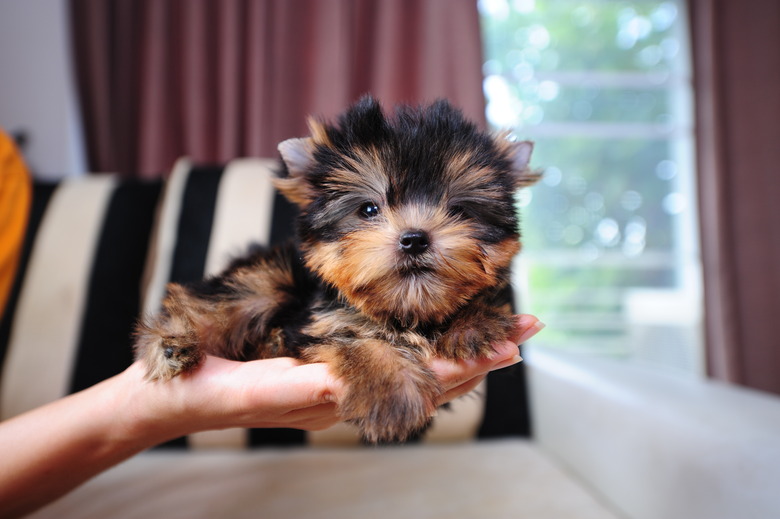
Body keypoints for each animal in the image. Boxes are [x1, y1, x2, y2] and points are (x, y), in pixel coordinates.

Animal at [134, 96, 536, 442]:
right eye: (369, 209)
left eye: (459, 210)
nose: (414, 238)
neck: (405, 310)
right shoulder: (318, 323)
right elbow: (358, 342)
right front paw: (393, 392)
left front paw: (473, 323)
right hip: (269, 278)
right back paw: (171, 344)